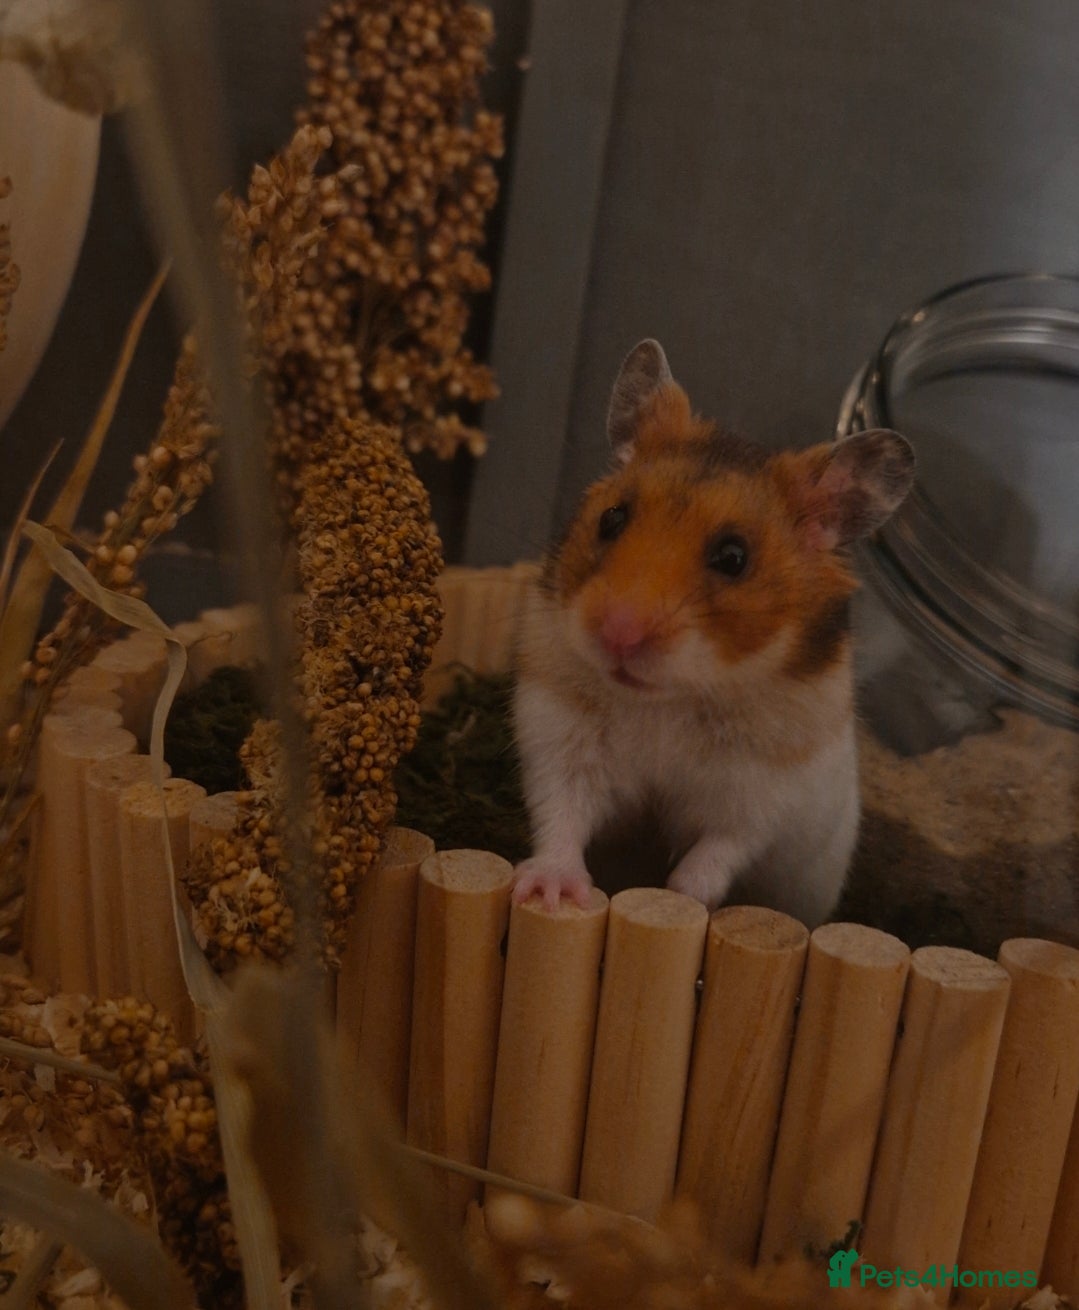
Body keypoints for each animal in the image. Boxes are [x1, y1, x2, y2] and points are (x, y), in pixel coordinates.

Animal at [511, 339, 915, 927]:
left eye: (733, 557)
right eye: (612, 518)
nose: (618, 634)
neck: (668, 700)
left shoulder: (767, 796)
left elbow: (718, 850)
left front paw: (679, 900)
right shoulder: (559, 740)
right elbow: (562, 817)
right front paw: (551, 893)